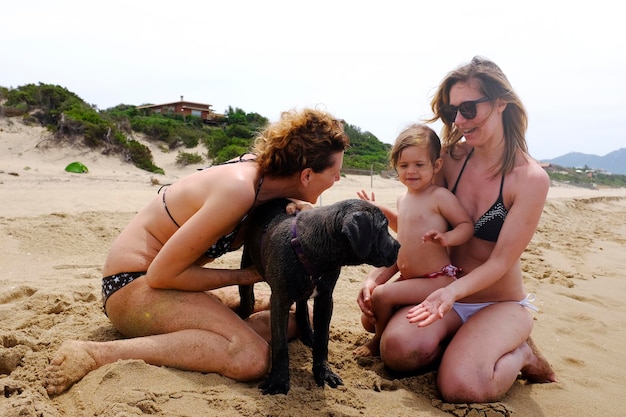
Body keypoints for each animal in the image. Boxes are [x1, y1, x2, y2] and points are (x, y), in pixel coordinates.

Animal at [239, 198, 400, 394]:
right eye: (383, 227)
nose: (399, 246)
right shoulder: (280, 300)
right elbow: (280, 344)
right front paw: (278, 381)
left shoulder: (325, 299)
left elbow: (323, 340)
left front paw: (324, 372)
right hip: (247, 267)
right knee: (247, 299)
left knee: (301, 307)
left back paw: (308, 334)